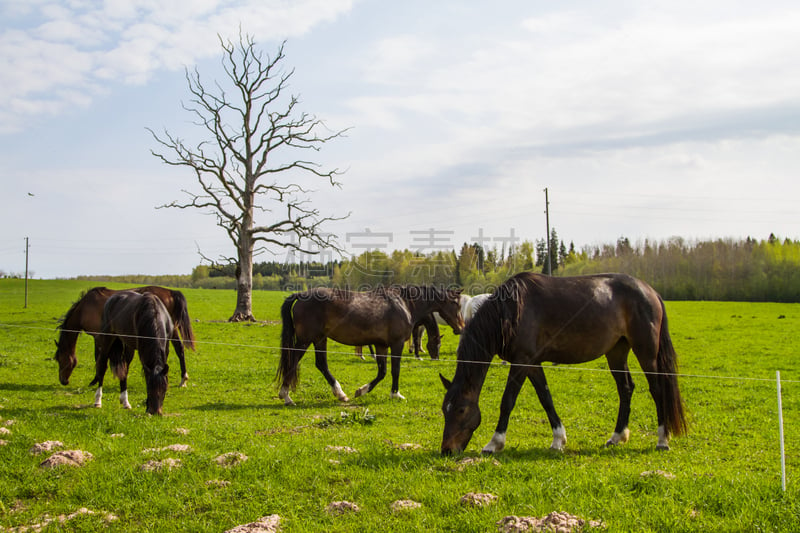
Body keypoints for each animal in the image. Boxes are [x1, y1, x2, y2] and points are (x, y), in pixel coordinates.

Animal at [54, 286, 195, 386]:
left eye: (60, 359)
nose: (63, 380)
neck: (85, 309)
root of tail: (170, 292)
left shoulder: (98, 336)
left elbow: (98, 356)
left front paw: (95, 380)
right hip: (172, 330)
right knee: (179, 349)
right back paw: (183, 379)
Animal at [276, 286, 462, 404]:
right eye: (456, 304)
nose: (461, 327)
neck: (404, 303)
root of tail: (301, 294)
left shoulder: (381, 345)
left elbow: (382, 372)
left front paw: (361, 390)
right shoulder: (396, 344)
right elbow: (395, 370)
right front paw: (396, 394)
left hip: (320, 339)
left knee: (321, 364)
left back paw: (340, 394)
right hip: (305, 340)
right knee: (293, 361)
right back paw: (286, 396)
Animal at [438, 272, 688, 456]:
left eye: (461, 409)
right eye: (444, 410)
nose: (447, 450)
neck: (510, 311)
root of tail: (650, 291)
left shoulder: (521, 361)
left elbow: (507, 401)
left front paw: (494, 443)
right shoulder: (532, 363)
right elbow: (545, 398)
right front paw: (559, 439)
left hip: (646, 352)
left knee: (657, 389)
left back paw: (662, 439)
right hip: (616, 352)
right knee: (625, 388)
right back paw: (617, 436)